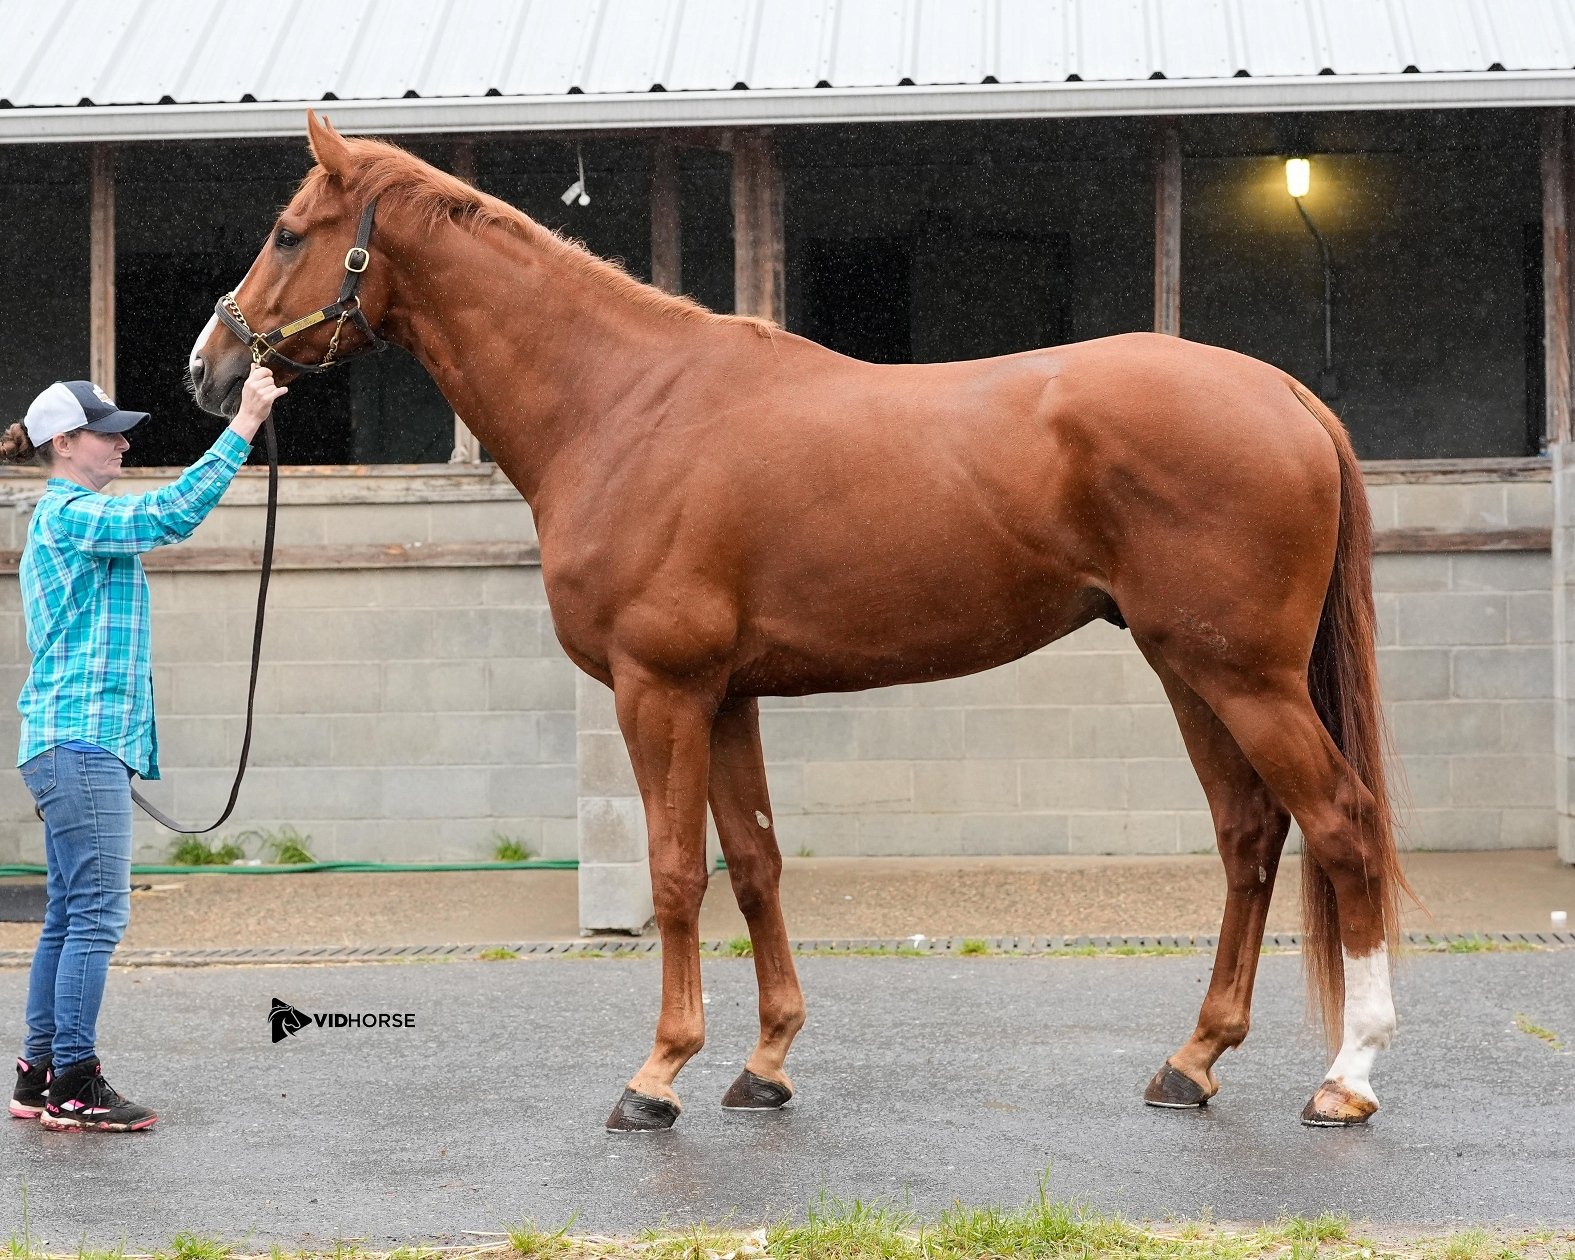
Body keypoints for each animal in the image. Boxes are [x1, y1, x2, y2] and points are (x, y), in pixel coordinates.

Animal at [189, 113, 1411, 1132]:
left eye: (291, 233)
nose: (210, 368)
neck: (622, 405)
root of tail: (1284, 394)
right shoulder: (727, 695)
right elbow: (756, 864)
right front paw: (764, 1065)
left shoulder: (660, 689)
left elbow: (676, 872)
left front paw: (657, 1076)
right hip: (1185, 668)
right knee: (1249, 836)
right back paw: (1191, 1063)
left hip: (1243, 677)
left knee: (1341, 823)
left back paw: (1345, 1079)